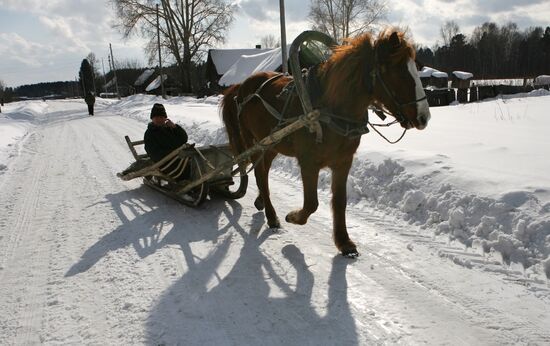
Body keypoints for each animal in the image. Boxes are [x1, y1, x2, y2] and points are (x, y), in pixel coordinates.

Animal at [220, 29, 432, 256]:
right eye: (398, 71)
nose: (424, 118)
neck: (328, 108)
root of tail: (241, 87)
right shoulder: (308, 163)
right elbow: (311, 203)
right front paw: (293, 217)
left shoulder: (343, 162)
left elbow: (339, 202)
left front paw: (344, 242)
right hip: (256, 142)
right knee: (260, 176)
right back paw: (272, 216)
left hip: (271, 146)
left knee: (263, 174)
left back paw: (262, 202)